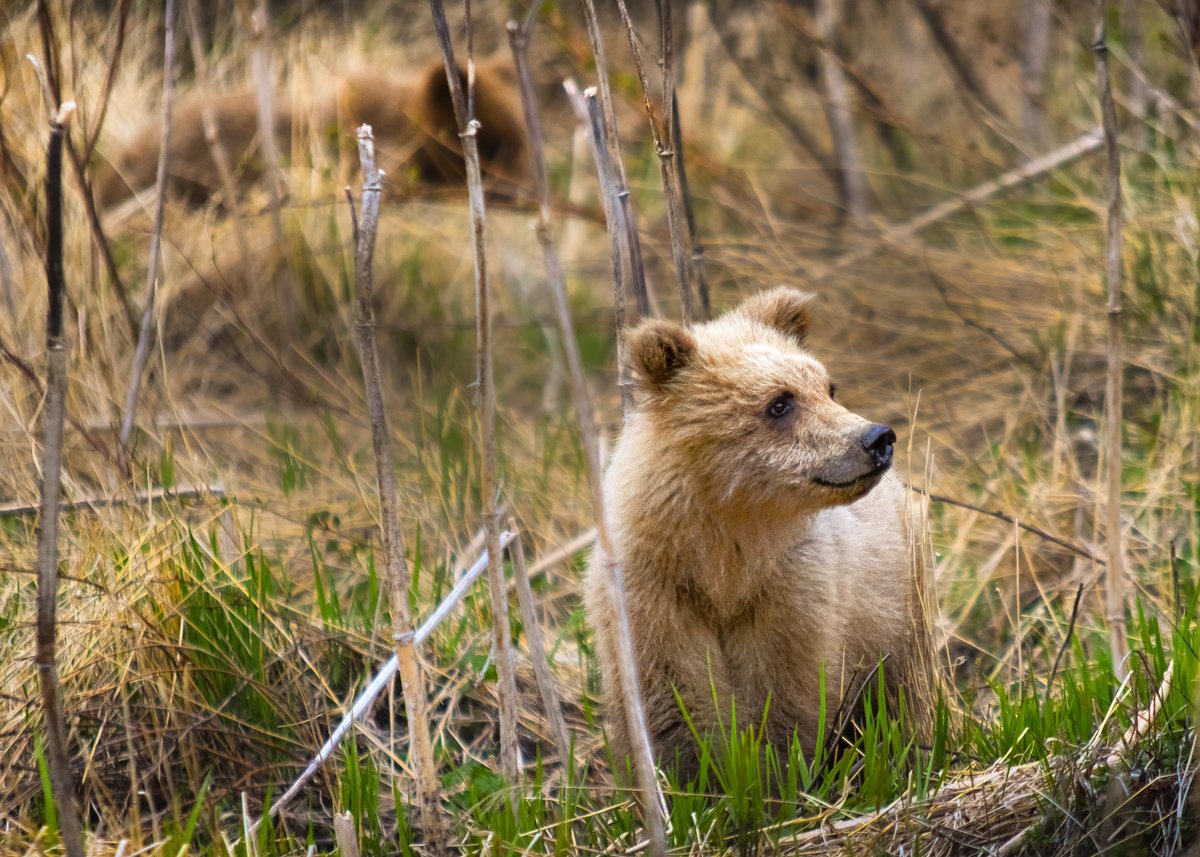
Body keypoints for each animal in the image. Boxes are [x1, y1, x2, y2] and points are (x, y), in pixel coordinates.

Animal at [584, 287, 936, 779]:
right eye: (779, 403)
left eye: (827, 387)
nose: (876, 438)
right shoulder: (654, 595)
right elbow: (674, 702)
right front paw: (695, 779)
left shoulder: (789, 592)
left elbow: (785, 696)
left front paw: (774, 774)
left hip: (899, 608)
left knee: (900, 693)